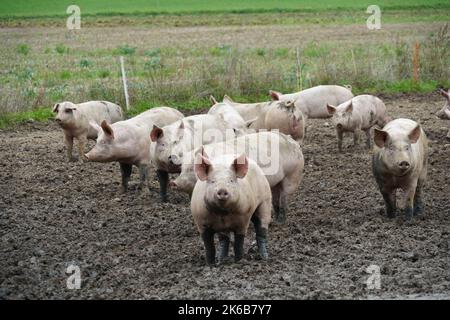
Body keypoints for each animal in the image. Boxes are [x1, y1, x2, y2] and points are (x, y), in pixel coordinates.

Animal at [171, 131, 304, 224]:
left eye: (191, 169)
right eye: (181, 169)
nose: (173, 182)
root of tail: (292, 141)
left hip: (292, 175)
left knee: (284, 197)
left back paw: (281, 222)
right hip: (275, 183)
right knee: (276, 199)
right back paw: (276, 221)